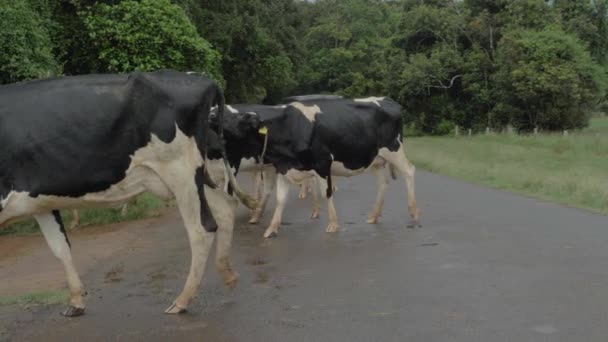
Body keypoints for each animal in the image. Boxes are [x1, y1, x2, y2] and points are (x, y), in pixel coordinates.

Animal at [0, 70, 254, 318]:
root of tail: (203, 79)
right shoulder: (39, 201)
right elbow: (60, 247)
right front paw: (76, 301)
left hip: (181, 172)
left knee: (201, 229)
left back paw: (182, 300)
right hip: (200, 175)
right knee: (225, 209)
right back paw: (228, 274)